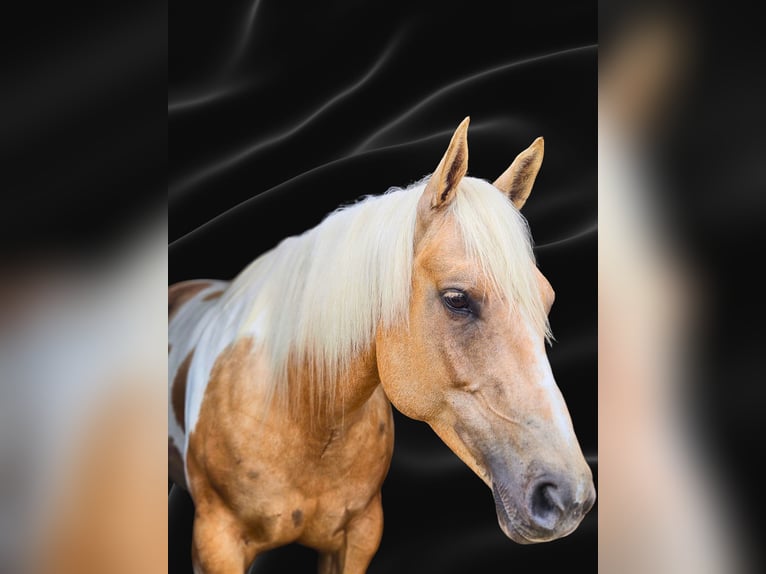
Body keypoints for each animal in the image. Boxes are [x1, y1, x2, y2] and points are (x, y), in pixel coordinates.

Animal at [168, 117, 596, 573]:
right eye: (457, 298)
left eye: (547, 299)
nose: (568, 498)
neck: (299, 415)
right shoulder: (216, 543)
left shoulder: (358, 537)